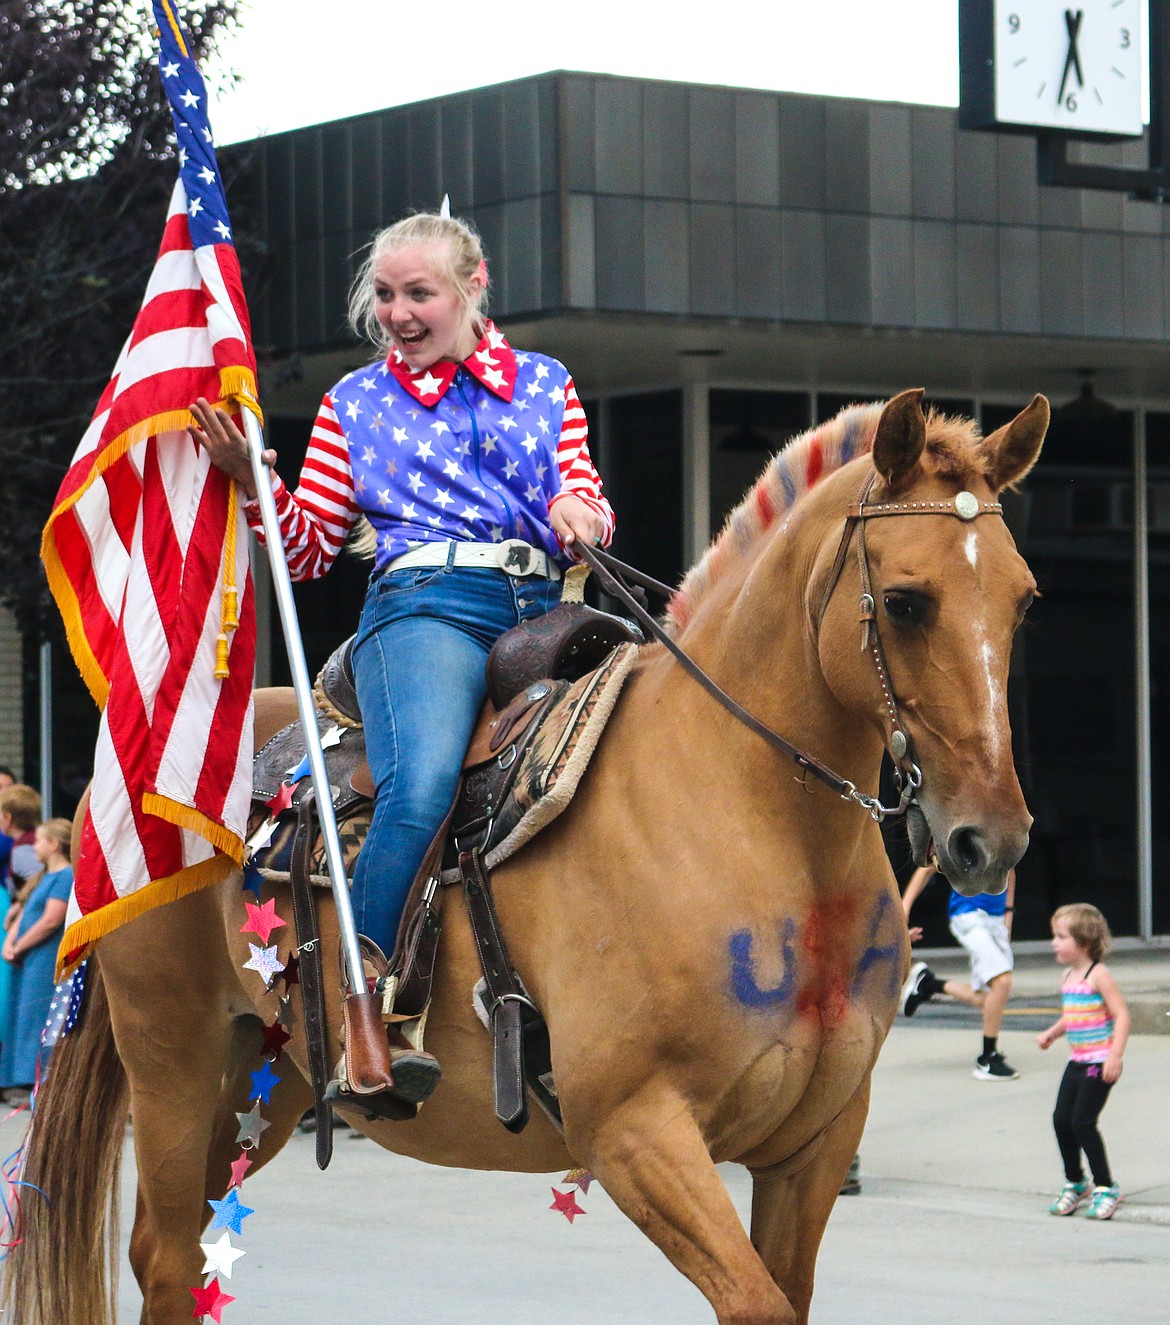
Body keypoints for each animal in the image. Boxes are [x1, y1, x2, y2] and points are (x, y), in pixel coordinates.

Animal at [4, 389, 1049, 1325]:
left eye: (1023, 602)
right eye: (906, 603)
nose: (989, 837)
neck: (753, 819)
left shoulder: (817, 1141)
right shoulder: (635, 1131)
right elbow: (752, 1301)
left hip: (267, 1080)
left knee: (178, 1255)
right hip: (173, 1058)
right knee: (164, 1257)